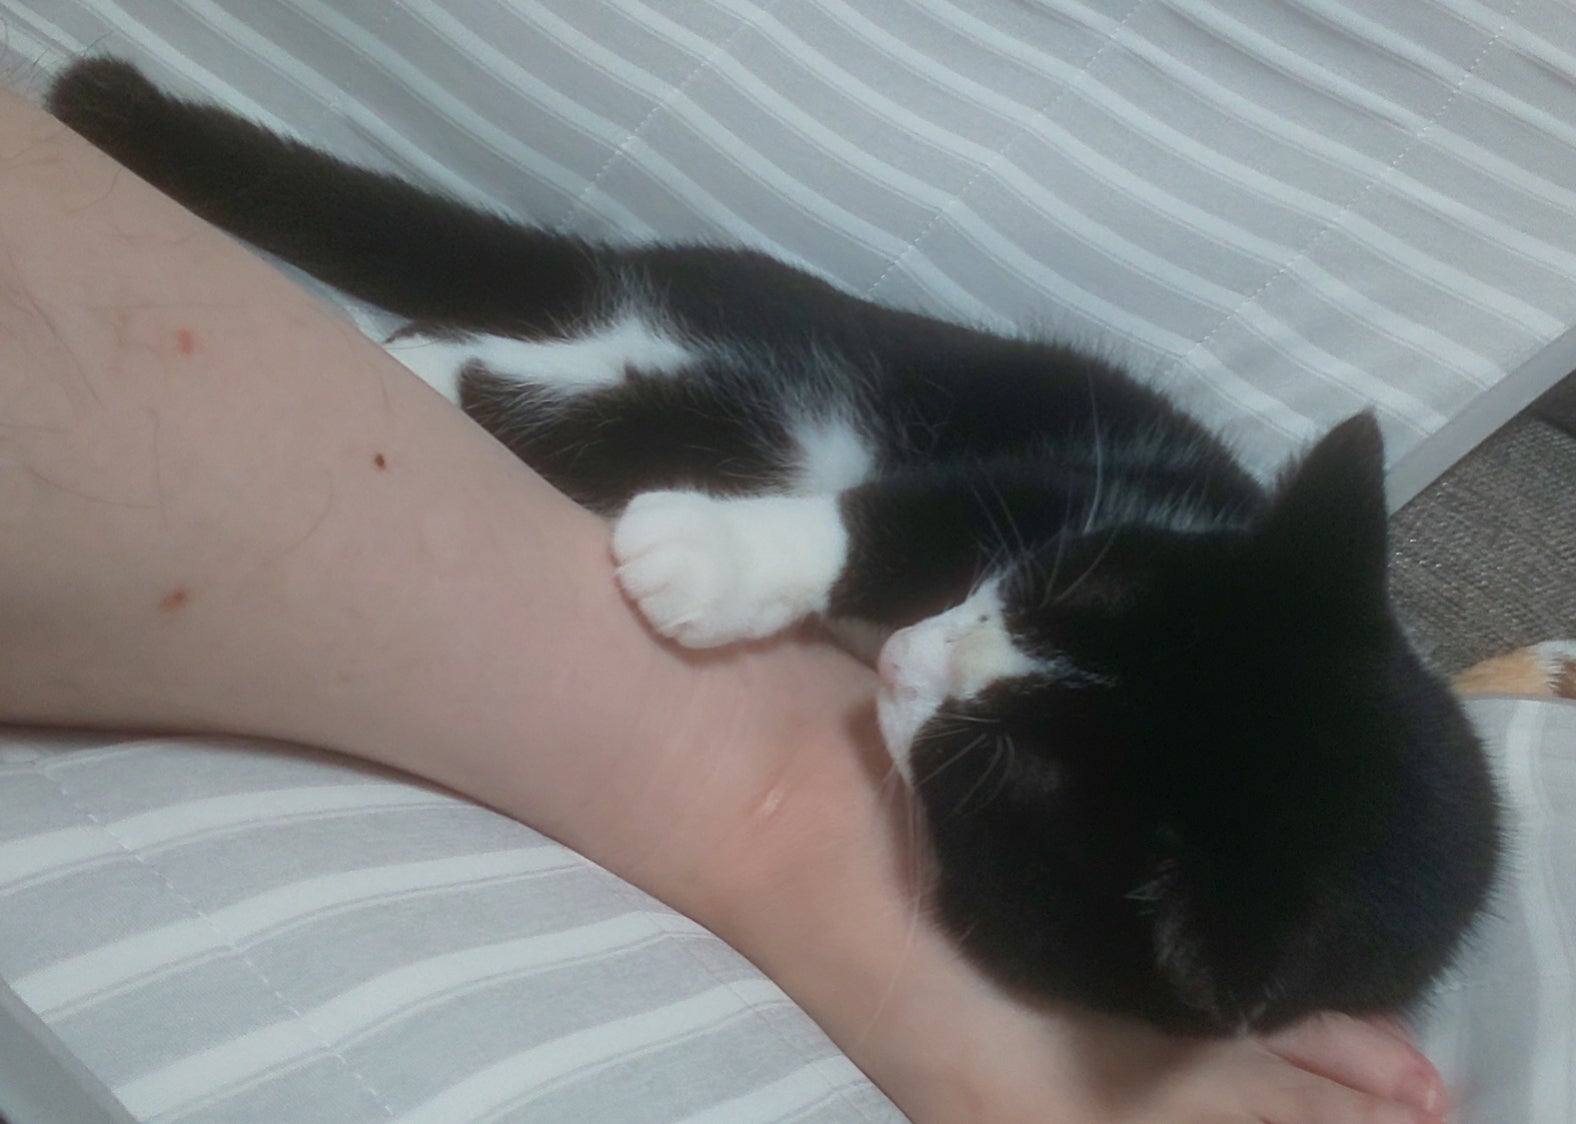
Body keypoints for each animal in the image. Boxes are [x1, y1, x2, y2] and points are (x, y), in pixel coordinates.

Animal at [47, 58, 1500, 1036]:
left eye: (989, 765)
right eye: (1045, 584)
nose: (913, 650)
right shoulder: (1074, 480)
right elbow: (902, 513)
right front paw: (705, 563)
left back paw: (424, 363)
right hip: (815, 360)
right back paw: (419, 362)